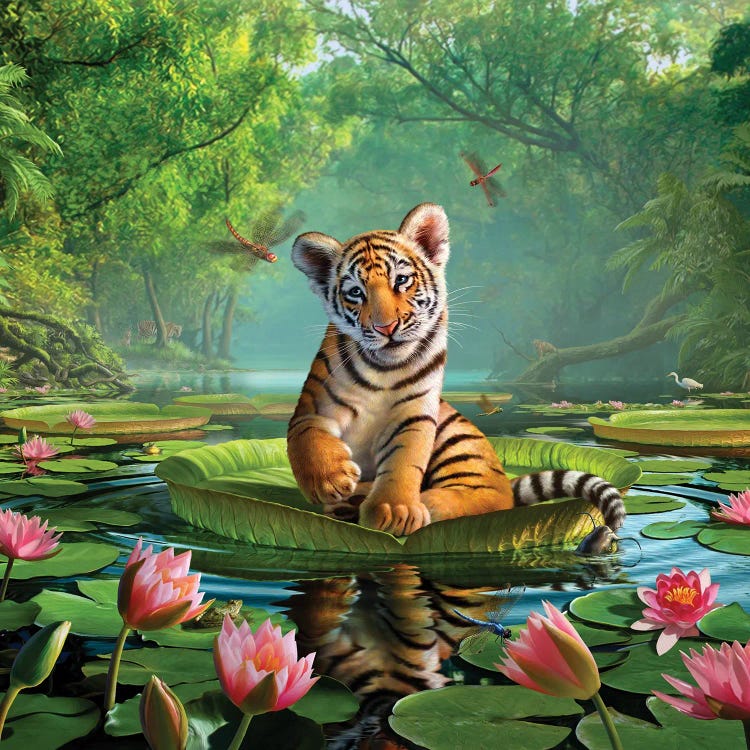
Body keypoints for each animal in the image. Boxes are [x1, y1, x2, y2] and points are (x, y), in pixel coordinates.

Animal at [288, 203, 626, 537]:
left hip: (459, 441)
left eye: (401, 280)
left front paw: (394, 511)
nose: (387, 327)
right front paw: (330, 481)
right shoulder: (311, 408)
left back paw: (416, 503)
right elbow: (306, 437)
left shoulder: (415, 414)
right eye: (356, 292)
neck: (384, 369)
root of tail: (507, 480)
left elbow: (404, 460)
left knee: (489, 497)